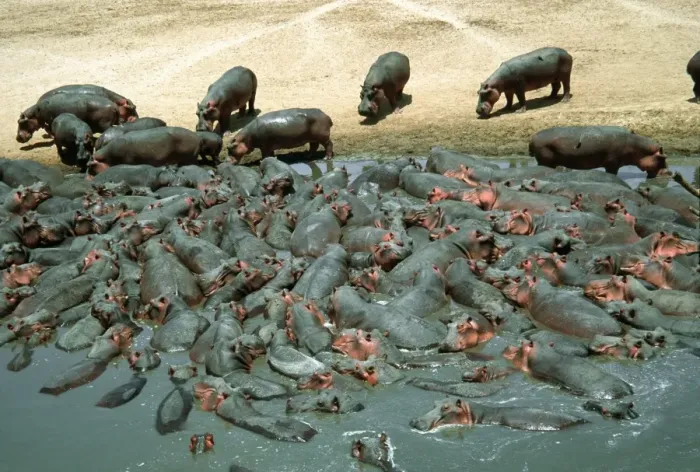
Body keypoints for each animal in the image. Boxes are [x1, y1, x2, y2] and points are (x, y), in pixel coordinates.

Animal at [529, 126, 668, 177]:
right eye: (663, 157)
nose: (670, 172)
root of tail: (532, 138)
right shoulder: (612, 164)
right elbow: (612, 173)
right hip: (545, 160)